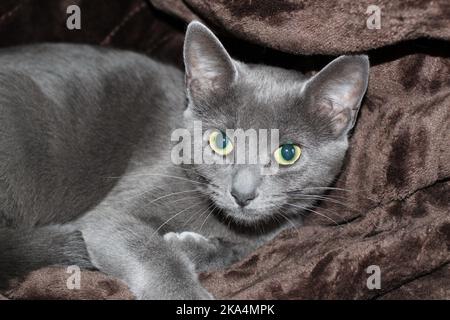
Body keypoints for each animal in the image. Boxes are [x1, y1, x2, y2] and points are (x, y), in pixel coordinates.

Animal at [0, 22, 368, 300]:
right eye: (221, 141)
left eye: (288, 153)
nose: (243, 193)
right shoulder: (111, 211)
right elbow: (151, 251)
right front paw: (183, 283)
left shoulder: (279, 227)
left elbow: (246, 246)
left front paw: (191, 244)